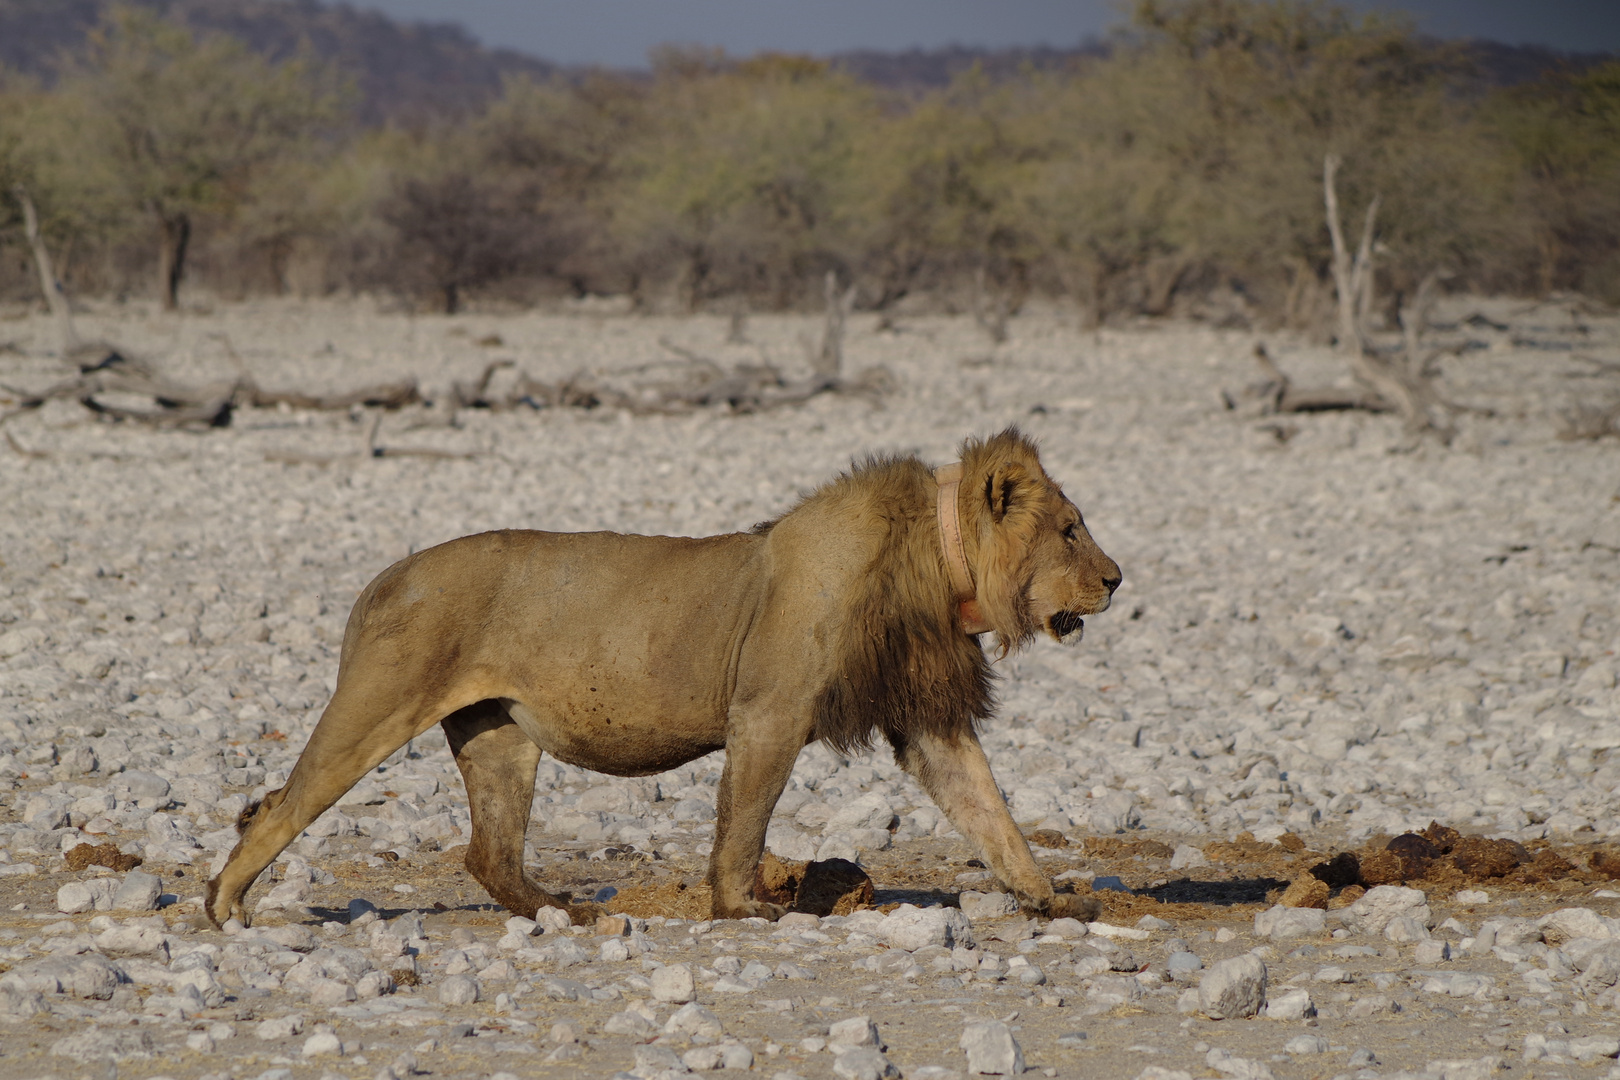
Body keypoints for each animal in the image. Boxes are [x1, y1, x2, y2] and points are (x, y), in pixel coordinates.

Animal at [208, 430, 1121, 932]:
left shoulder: (926, 722)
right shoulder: (770, 712)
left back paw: (567, 911)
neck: (937, 568)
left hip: (499, 738)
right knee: (282, 805)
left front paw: (1051, 900)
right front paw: (743, 908)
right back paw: (224, 904)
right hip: (377, 706)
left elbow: (991, 815)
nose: (1117, 580)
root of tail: (385, 577)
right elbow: (745, 820)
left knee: (488, 853)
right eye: (1072, 530)